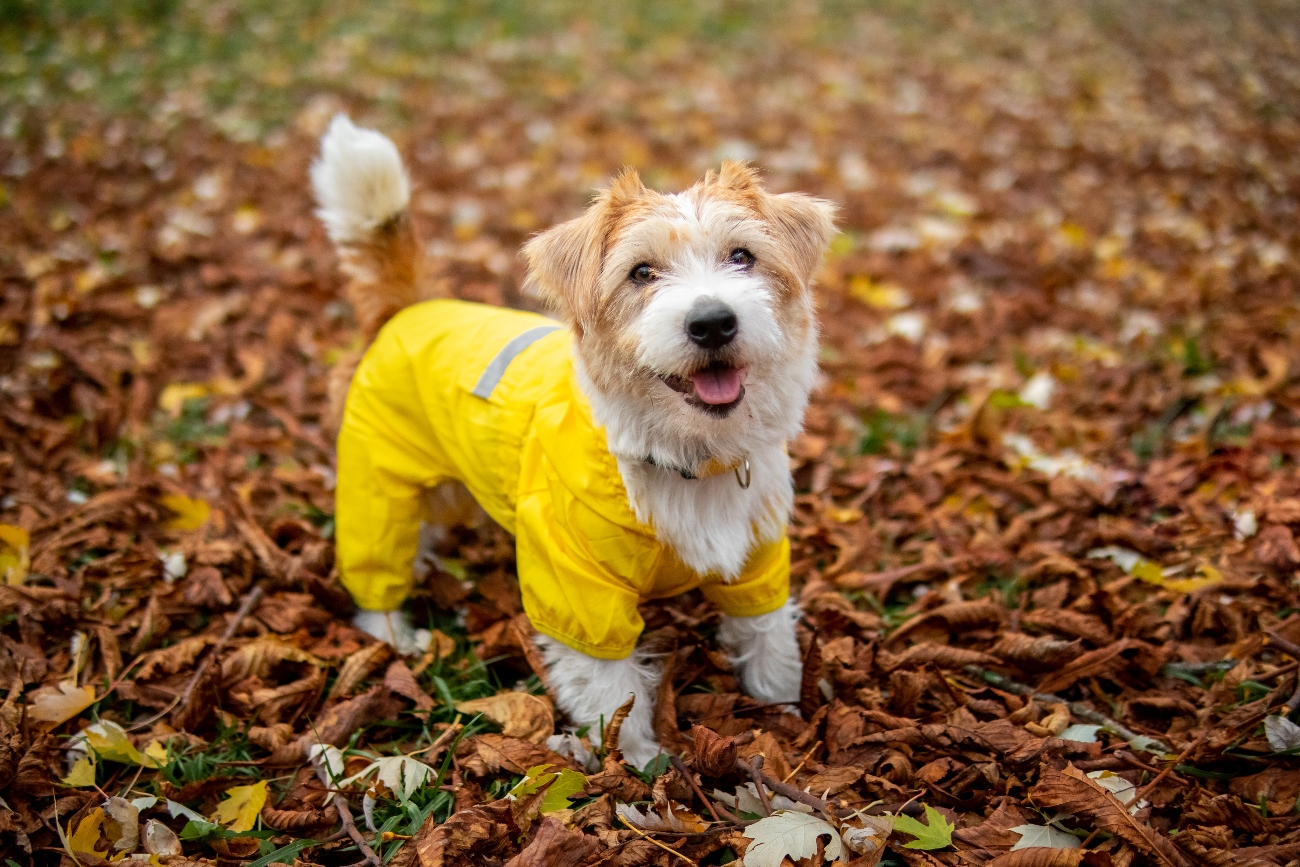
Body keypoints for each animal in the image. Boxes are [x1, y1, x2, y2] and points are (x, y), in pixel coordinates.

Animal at [309, 113, 832, 764]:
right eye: (641, 272)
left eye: (743, 256)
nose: (712, 322)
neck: (685, 456)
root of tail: (406, 310)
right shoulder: (580, 590)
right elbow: (612, 688)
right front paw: (637, 763)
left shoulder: (760, 560)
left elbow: (768, 638)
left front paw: (784, 714)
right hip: (376, 485)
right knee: (376, 564)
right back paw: (393, 633)